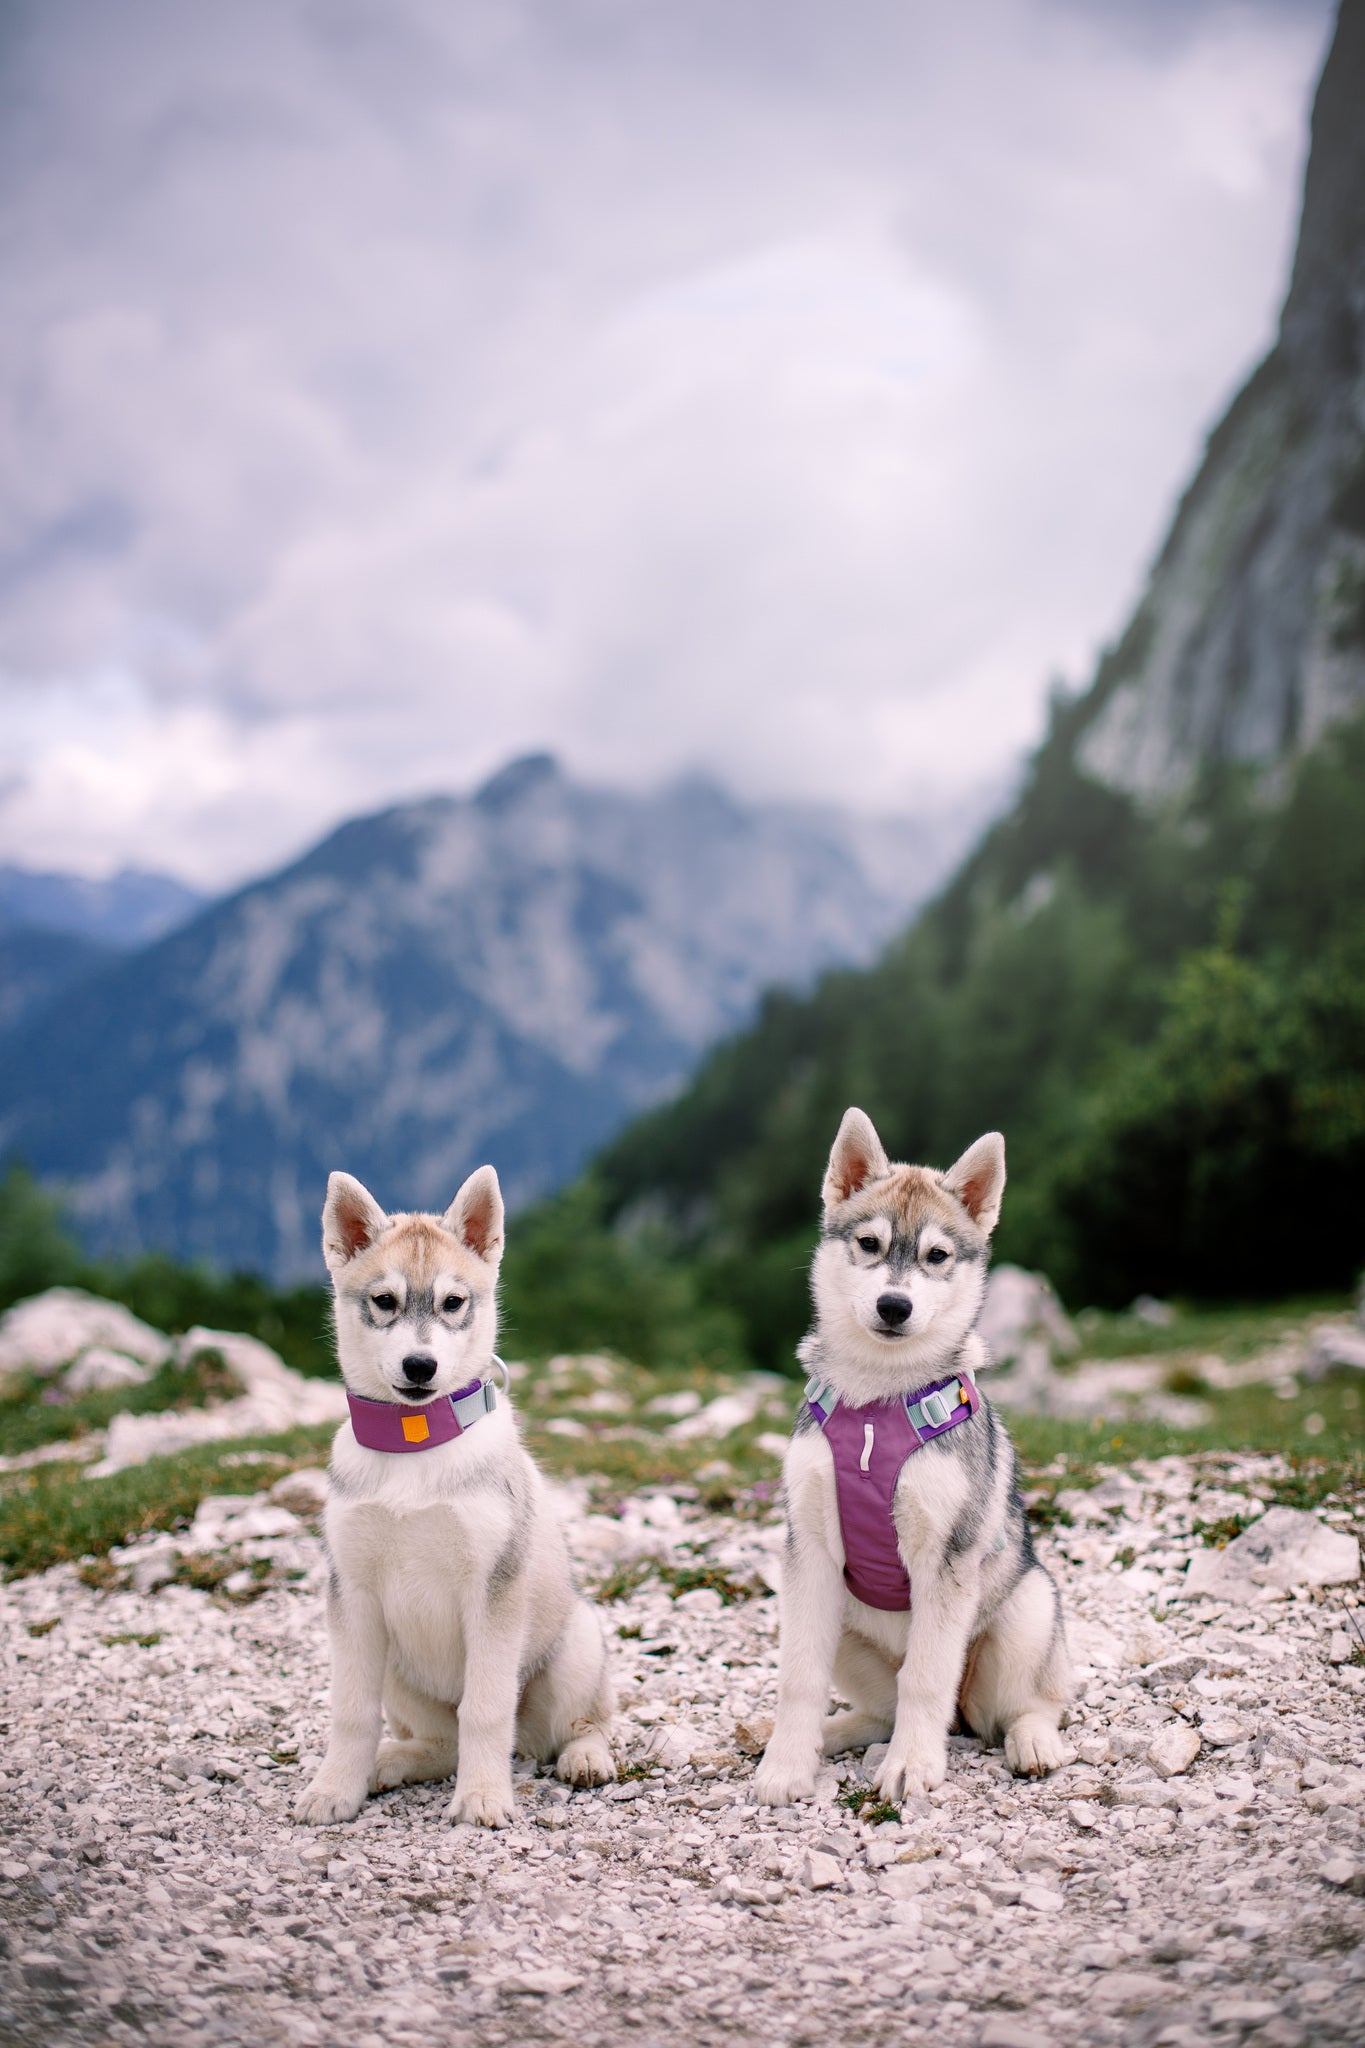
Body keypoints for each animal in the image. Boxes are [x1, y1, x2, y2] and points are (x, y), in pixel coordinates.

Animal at [294, 1165, 616, 1829]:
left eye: (453, 1302)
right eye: (384, 1301)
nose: (420, 1366)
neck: (415, 1448)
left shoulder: (492, 1589)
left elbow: (485, 1710)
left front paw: (484, 1797)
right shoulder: (351, 1596)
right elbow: (351, 1711)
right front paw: (334, 1789)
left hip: (575, 1646)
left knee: (580, 1722)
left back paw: (584, 1757)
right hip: (398, 1671)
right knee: (441, 1742)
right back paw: (392, 1762)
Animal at [754, 1108, 1071, 1807]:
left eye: (937, 1256)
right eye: (869, 1244)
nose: (893, 1306)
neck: (877, 1402)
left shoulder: (946, 1557)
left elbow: (926, 1678)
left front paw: (912, 1767)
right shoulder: (808, 1552)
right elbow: (799, 1678)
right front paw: (785, 1766)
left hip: (1027, 1610)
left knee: (1023, 1704)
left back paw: (1032, 1741)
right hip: (840, 1625)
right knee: (881, 1708)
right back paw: (835, 1733)